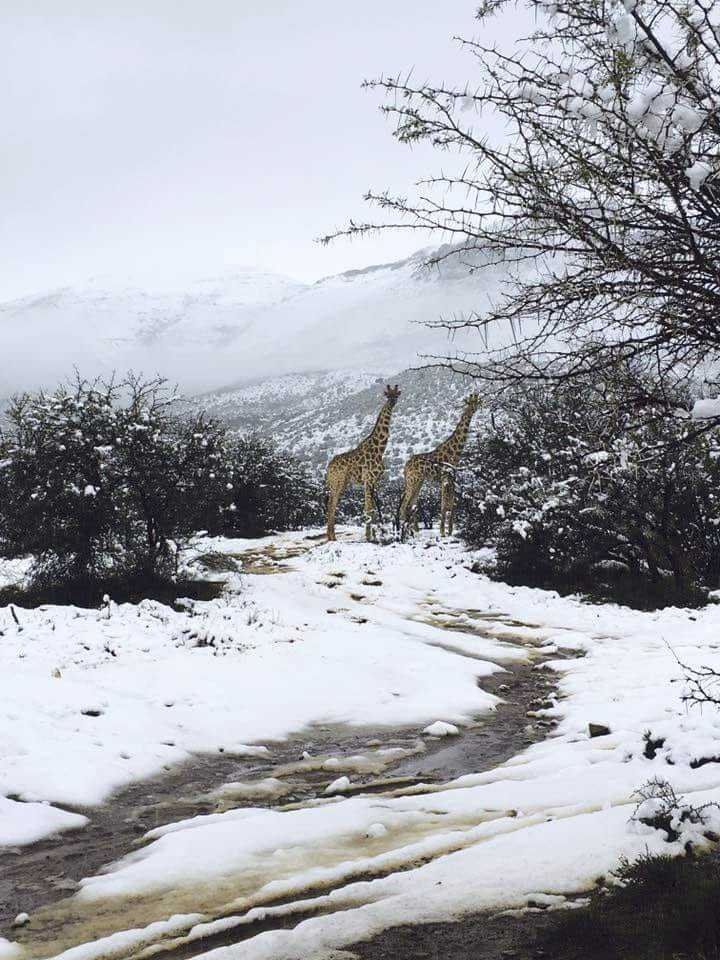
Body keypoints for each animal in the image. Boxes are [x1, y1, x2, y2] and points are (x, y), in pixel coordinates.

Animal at [324, 386, 400, 544]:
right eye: (387, 395)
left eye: (396, 395)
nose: (392, 402)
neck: (380, 448)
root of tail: (328, 467)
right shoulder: (368, 479)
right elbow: (368, 509)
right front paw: (369, 537)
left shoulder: (374, 481)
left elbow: (373, 509)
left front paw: (375, 536)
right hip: (337, 482)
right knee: (331, 504)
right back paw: (332, 537)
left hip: (341, 483)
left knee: (331, 504)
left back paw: (331, 536)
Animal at [400, 392, 484, 540]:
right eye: (471, 403)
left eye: (477, 401)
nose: (474, 408)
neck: (454, 451)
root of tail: (405, 467)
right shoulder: (445, 477)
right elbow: (444, 504)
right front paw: (443, 532)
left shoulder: (452, 477)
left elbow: (453, 503)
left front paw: (449, 531)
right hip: (412, 481)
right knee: (404, 505)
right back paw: (405, 531)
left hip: (419, 482)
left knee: (411, 504)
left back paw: (414, 531)